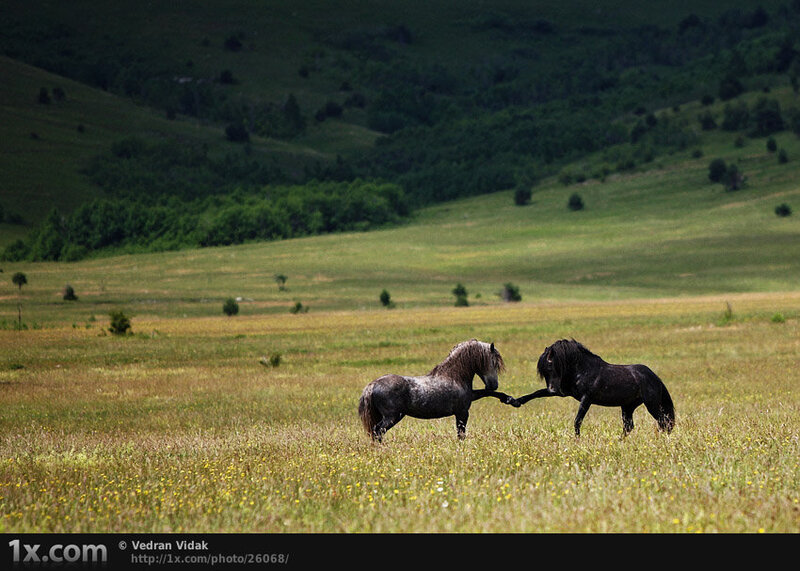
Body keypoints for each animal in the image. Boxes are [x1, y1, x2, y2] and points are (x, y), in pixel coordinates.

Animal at [358, 339, 516, 442]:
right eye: (493, 362)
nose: (494, 385)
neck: (454, 376)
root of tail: (372, 385)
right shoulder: (462, 412)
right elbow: (461, 434)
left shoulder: (470, 398)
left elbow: (487, 393)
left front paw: (510, 400)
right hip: (391, 417)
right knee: (377, 431)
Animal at [514, 339, 675, 436]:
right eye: (544, 372)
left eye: (551, 366)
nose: (552, 389)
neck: (583, 369)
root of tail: (655, 377)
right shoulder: (565, 392)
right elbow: (537, 393)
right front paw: (515, 401)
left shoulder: (587, 398)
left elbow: (577, 420)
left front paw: (577, 440)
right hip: (628, 406)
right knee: (629, 427)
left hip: (651, 405)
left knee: (664, 422)